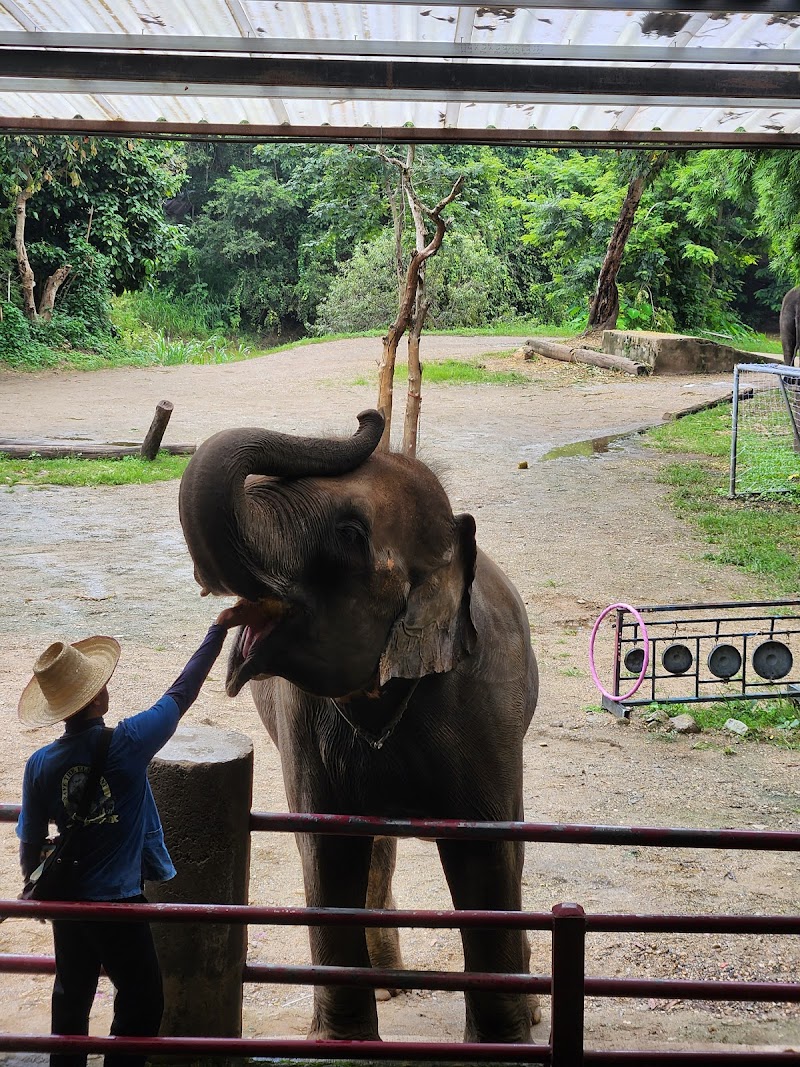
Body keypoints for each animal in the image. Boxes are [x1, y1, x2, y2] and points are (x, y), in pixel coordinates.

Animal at [178, 409, 540, 1043]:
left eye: (349, 534)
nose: (369, 415)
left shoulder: (485, 706)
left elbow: (486, 858)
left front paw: (504, 1043)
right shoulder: (304, 724)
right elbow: (329, 850)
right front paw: (341, 1043)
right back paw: (391, 986)